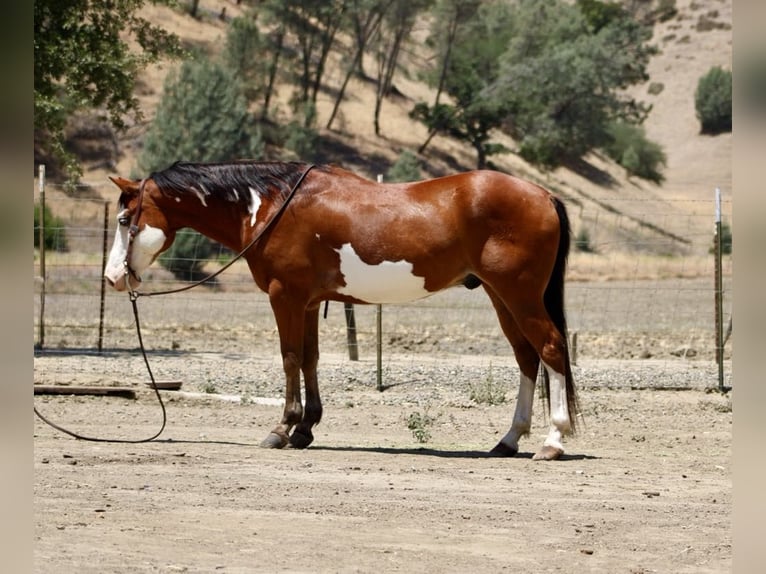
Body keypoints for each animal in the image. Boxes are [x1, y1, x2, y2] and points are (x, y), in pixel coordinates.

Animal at [104, 160, 579, 460]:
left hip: (519, 295)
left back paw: (553, 441)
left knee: (551, 349)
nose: (113, 278)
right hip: (502, 297)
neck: (272, 206)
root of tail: (544, 195)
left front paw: (282, 429)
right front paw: (305, 429)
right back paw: (509, 440)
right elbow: (310, 359)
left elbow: (290, 358)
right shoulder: (309, 302)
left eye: (126, 220)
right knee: (526, 358)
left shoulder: (285, 297)